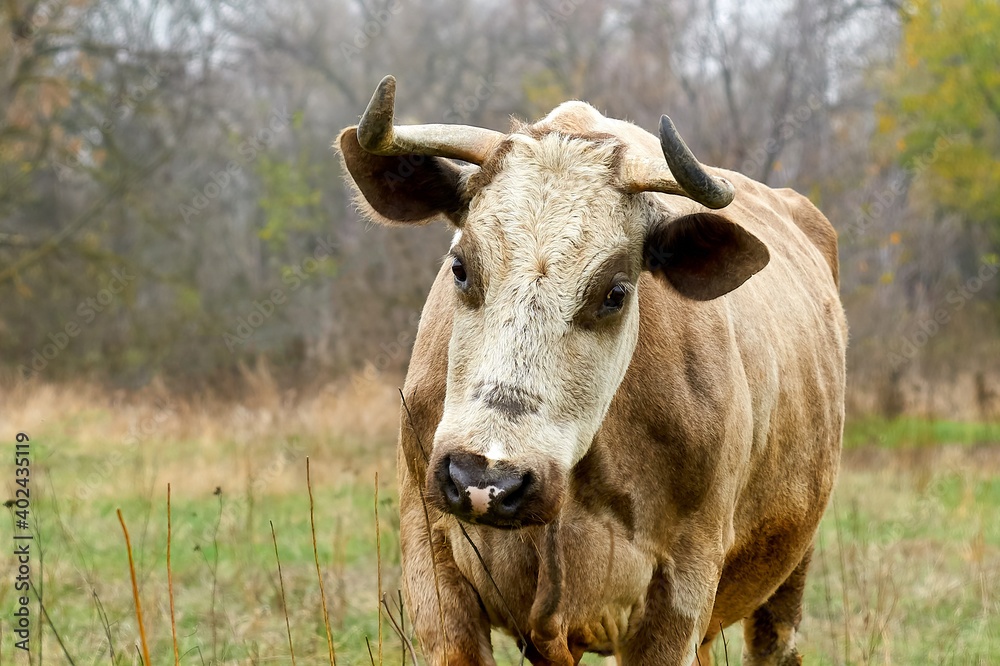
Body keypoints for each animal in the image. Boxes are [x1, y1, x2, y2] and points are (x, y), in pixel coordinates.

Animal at [336, 78, 844, 664]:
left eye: (615, 292)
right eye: (459, 267)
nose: (485, 482)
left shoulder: (680, 591)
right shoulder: (433, 563)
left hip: (790, 572)